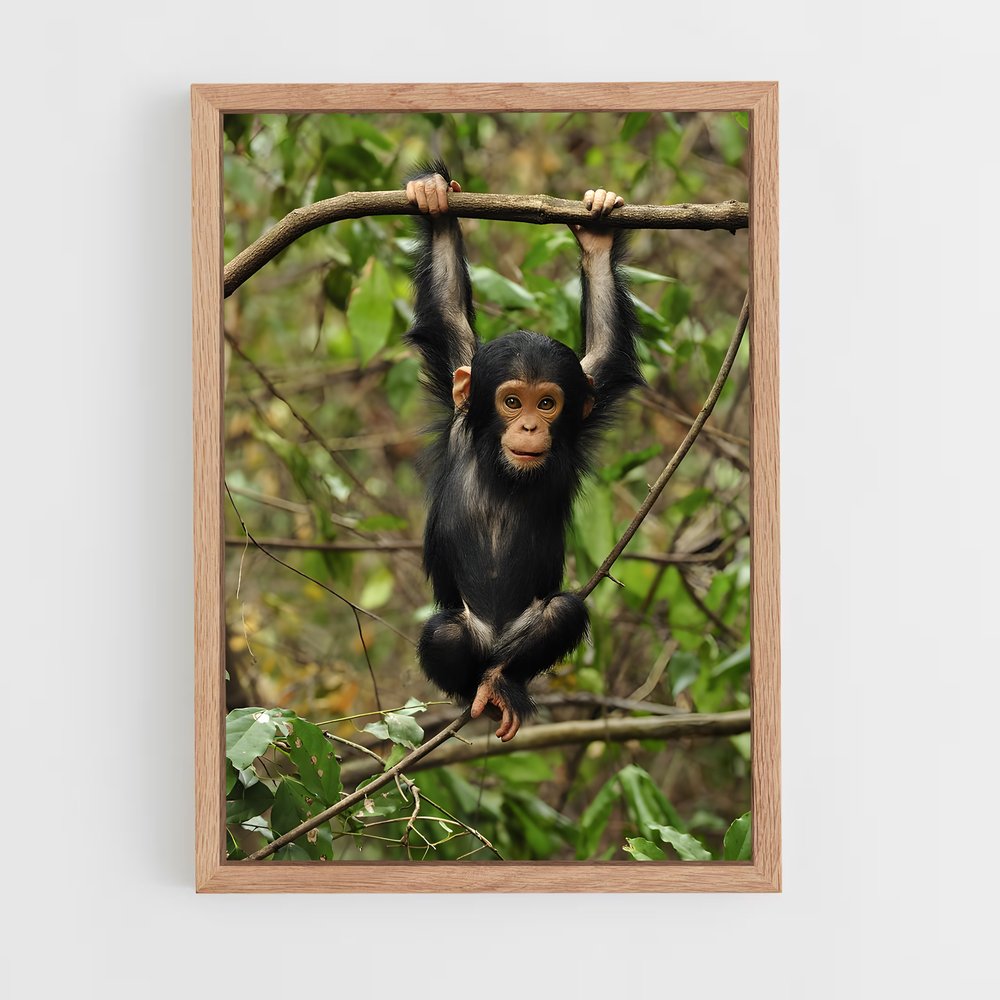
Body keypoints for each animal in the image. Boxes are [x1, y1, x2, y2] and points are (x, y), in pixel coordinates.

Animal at [403, 161, 642, 741]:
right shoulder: (460, 388)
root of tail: (493, 646)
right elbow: (446, 311)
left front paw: (598, 236)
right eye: (512, 401)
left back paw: (502, 684)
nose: (531, 424)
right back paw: (480, 692)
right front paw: (434, 201)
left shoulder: (583, 400)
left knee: (561, 615)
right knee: (445, 635)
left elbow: (606, 347)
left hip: (523, 639)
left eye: (548, 403)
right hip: (466, 637)